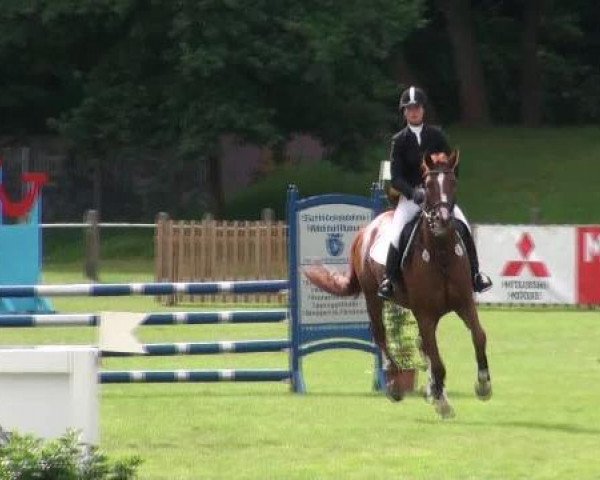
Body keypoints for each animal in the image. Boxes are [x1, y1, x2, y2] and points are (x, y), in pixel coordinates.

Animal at [304, 150, 492, 416]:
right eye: (427, 185)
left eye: (453, 182)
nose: (443, 220)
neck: (441, 253)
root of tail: (367, 230)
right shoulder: (425, 314)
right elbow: (436, 358)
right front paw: (442, 402)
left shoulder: (464, 304)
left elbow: (478, 336)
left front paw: (483, 385)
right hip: (373, 297)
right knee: (381, 335)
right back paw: (395, 385)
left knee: (422, 345)